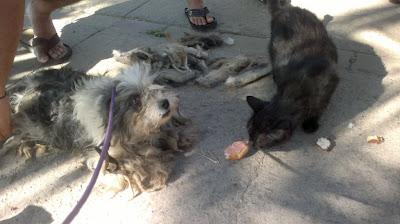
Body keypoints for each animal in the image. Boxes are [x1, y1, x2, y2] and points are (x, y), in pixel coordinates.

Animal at [3, 64, 197, 197]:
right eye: (135, 100)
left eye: (153, 88)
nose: (165, 102)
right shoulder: (97, 152)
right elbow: (112, 174)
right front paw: (120, 178)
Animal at [247, 0, 338, 149]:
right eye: (249, 129)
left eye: (260, 141)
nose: (251, 143)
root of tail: (286, 9)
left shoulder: (327, 88)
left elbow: (319, 107)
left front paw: (310, 123)